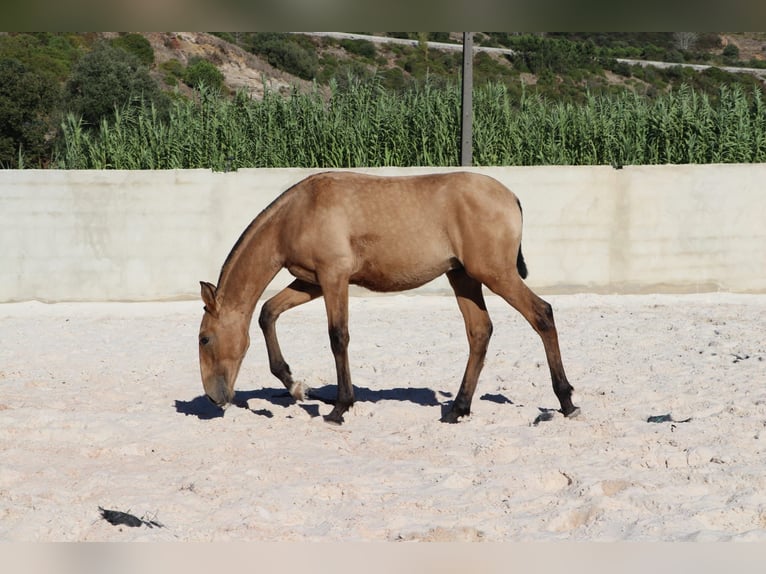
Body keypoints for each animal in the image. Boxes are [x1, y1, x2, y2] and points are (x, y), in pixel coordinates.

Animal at [201, 169, 580, 426]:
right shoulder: (311, 282)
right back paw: (457, 409)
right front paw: (296, 386)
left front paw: (339, 407)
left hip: (495, 274)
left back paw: (567, 402)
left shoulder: (333, 277)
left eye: (204, 338)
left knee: (542, 314)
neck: (297, 213)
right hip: (463, 277)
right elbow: (267, 312)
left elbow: (338, 337)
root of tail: (511, 196)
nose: (214, 398)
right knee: (479, 332)